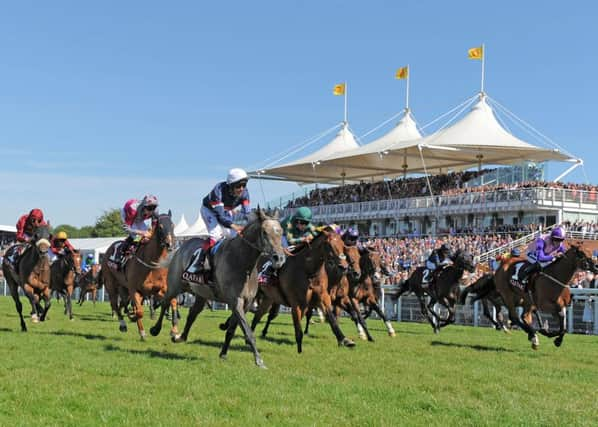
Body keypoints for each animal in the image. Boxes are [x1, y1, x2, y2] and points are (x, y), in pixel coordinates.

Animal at [101, 212, 175, 340]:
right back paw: (123, 324)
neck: (151, 264)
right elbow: (139, 312)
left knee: (123, 303)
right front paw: (142, 331)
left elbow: (171, 302)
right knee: (115, 304)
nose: (169, 244)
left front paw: (170, 331)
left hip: (123, 287)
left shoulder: (158, 290)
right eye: (160, 227)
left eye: (172, 225)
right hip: (111, 283)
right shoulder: (134, 289)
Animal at [152, 209, 288, 370]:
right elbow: (248, 332)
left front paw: (223, 353)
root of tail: (180, 248)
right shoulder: (235, 301)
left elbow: (232, 330)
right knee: (165, 302)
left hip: (201, 293)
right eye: (265, 232)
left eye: (281, 232)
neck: (243, 262)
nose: (279, 258)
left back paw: (180, 337)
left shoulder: (246, 303)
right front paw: (259, 360)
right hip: (175, 286)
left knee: (192, 314)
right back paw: (156, 329)